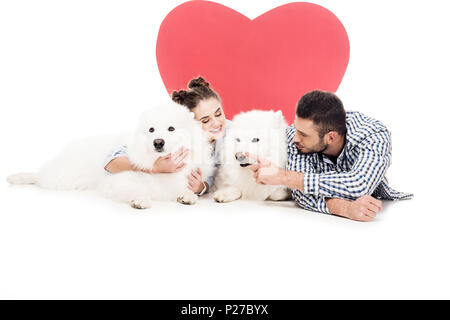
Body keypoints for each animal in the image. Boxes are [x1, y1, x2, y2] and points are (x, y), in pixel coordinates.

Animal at [6, 101, 214, 209]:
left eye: (171, 129)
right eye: (151, 129)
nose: (158, 142)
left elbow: (184, 188)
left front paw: (187, 195)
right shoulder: (120, 180)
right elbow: (137, 189)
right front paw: (140, 199)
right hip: (64, 177)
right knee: (41, 176)